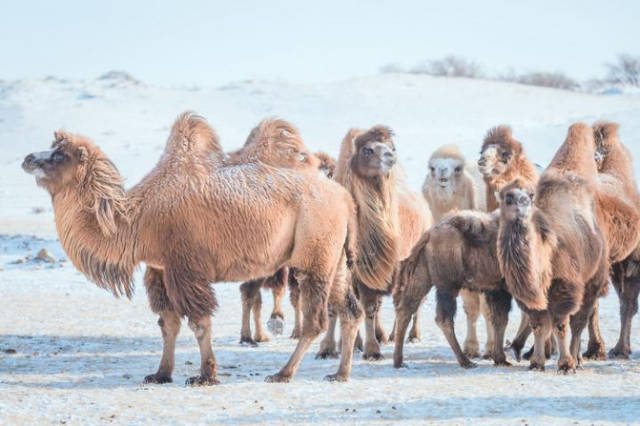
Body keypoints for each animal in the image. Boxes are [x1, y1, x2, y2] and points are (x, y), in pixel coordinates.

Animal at [22, 111, 362, 384]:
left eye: (59, 155)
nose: (27, 159)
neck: (138, 219)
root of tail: (345, 198)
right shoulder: (159, 268)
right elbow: (168, 323)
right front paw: (161, 373)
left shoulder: (185, 266)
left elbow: (199, 322)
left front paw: (205, 375)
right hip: (336, 260)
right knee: (349, 309)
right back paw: (340, 373)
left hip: (314, 252)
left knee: (316, 320)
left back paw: (283, 373)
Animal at [314, 127, 430, 362]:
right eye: (367, 150)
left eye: (392, 147)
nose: (391, 156)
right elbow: (334, 306)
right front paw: (328, 348)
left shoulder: (372, 268)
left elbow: (368, 307)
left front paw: (372, 350)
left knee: (409, 300)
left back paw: (407, 335)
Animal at [420, 145, 496, 358]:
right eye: (432, 168)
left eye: (457, 169)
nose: (442, 172)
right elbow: (470, 307)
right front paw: (471, 347)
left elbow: (488, 309)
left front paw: (491, 348)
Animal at [498, 122, 608, 370]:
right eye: (507, 196)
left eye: (530, 195)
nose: (522, 205)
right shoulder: (530, 297)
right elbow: (539, 324)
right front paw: (536, 362)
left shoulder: (565, 286)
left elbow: (560, 325)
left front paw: (565, 364)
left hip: (594, 275)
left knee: (579, 320)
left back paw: (577, 358)